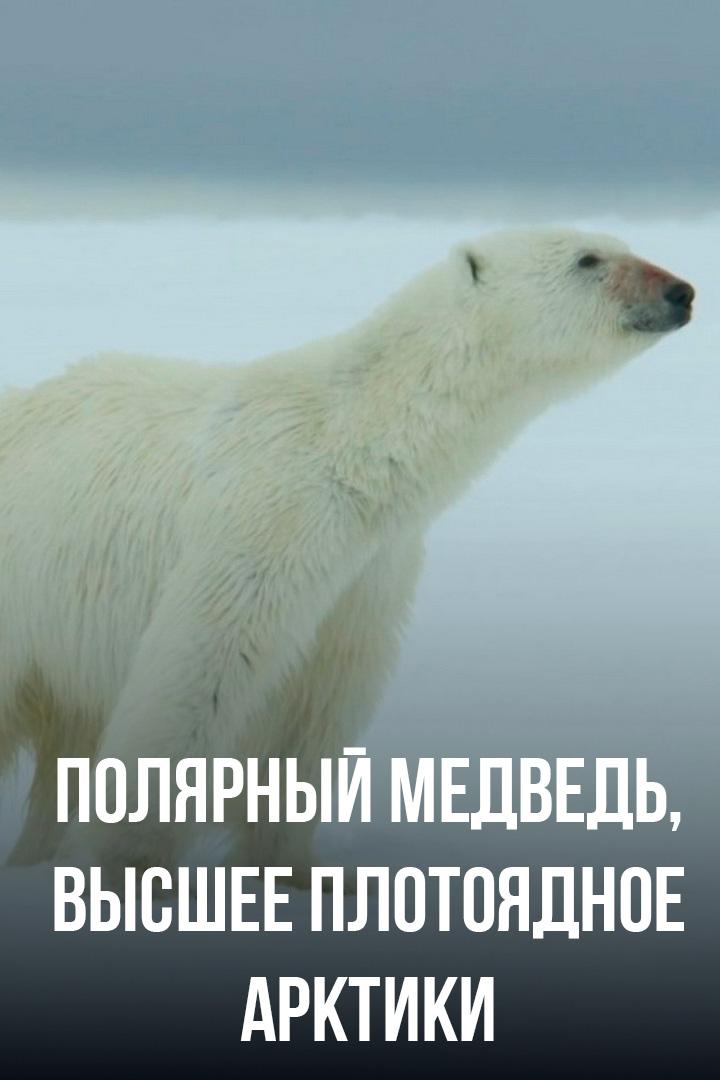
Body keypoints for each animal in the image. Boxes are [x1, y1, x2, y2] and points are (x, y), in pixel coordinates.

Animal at [0, 228, 694, 885]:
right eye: (588, 258)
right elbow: (203, 665)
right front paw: (139, 873)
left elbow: (314, 705)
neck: (353, 448)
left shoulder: (370, 568)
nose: (681, 291)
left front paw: (308, 875)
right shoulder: (266, 517)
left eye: (625, 246)